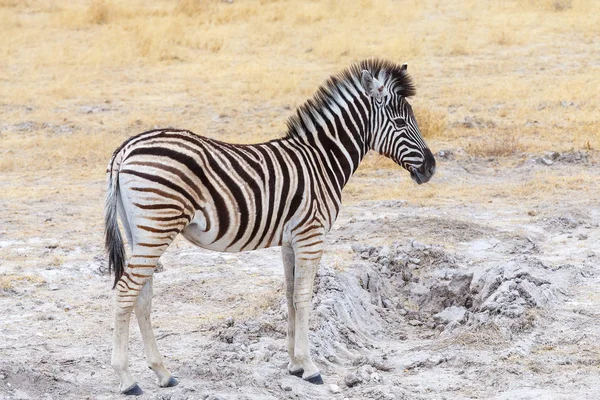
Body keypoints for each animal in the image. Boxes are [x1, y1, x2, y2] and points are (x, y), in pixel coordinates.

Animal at [105, 58, 436, 394]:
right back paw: (127, 379)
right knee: (125, 292)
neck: (322, 161)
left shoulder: (290, 241)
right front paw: (311, 367)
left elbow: (290, 297)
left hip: (141, 232)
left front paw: (294, 365)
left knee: (142, 298)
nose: (430, 168)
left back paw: (163, 373)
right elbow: (304, 297)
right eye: (400, 123)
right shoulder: (311, 236)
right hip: (158, 225)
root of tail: (126, 149)